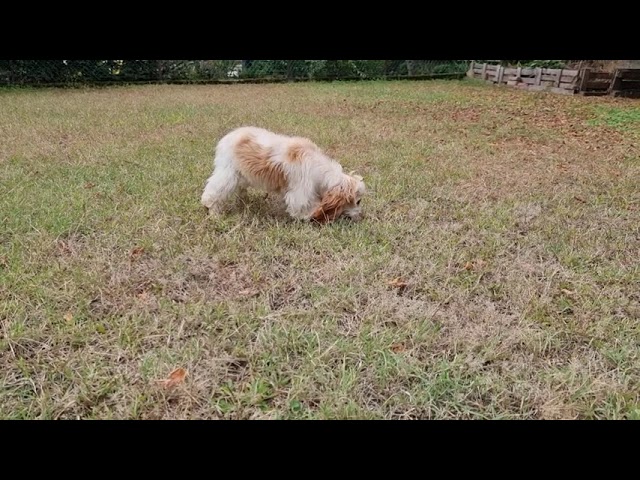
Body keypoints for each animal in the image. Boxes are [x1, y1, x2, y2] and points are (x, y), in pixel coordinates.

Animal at [202, 127, 368, 225]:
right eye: (358, 201)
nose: (361, 216)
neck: (321, 170)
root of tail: (228, 136)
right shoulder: (300, 194)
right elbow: (305, 208)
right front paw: (312, 217)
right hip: (227, 173)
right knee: (213, 192)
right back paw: (214, 213)